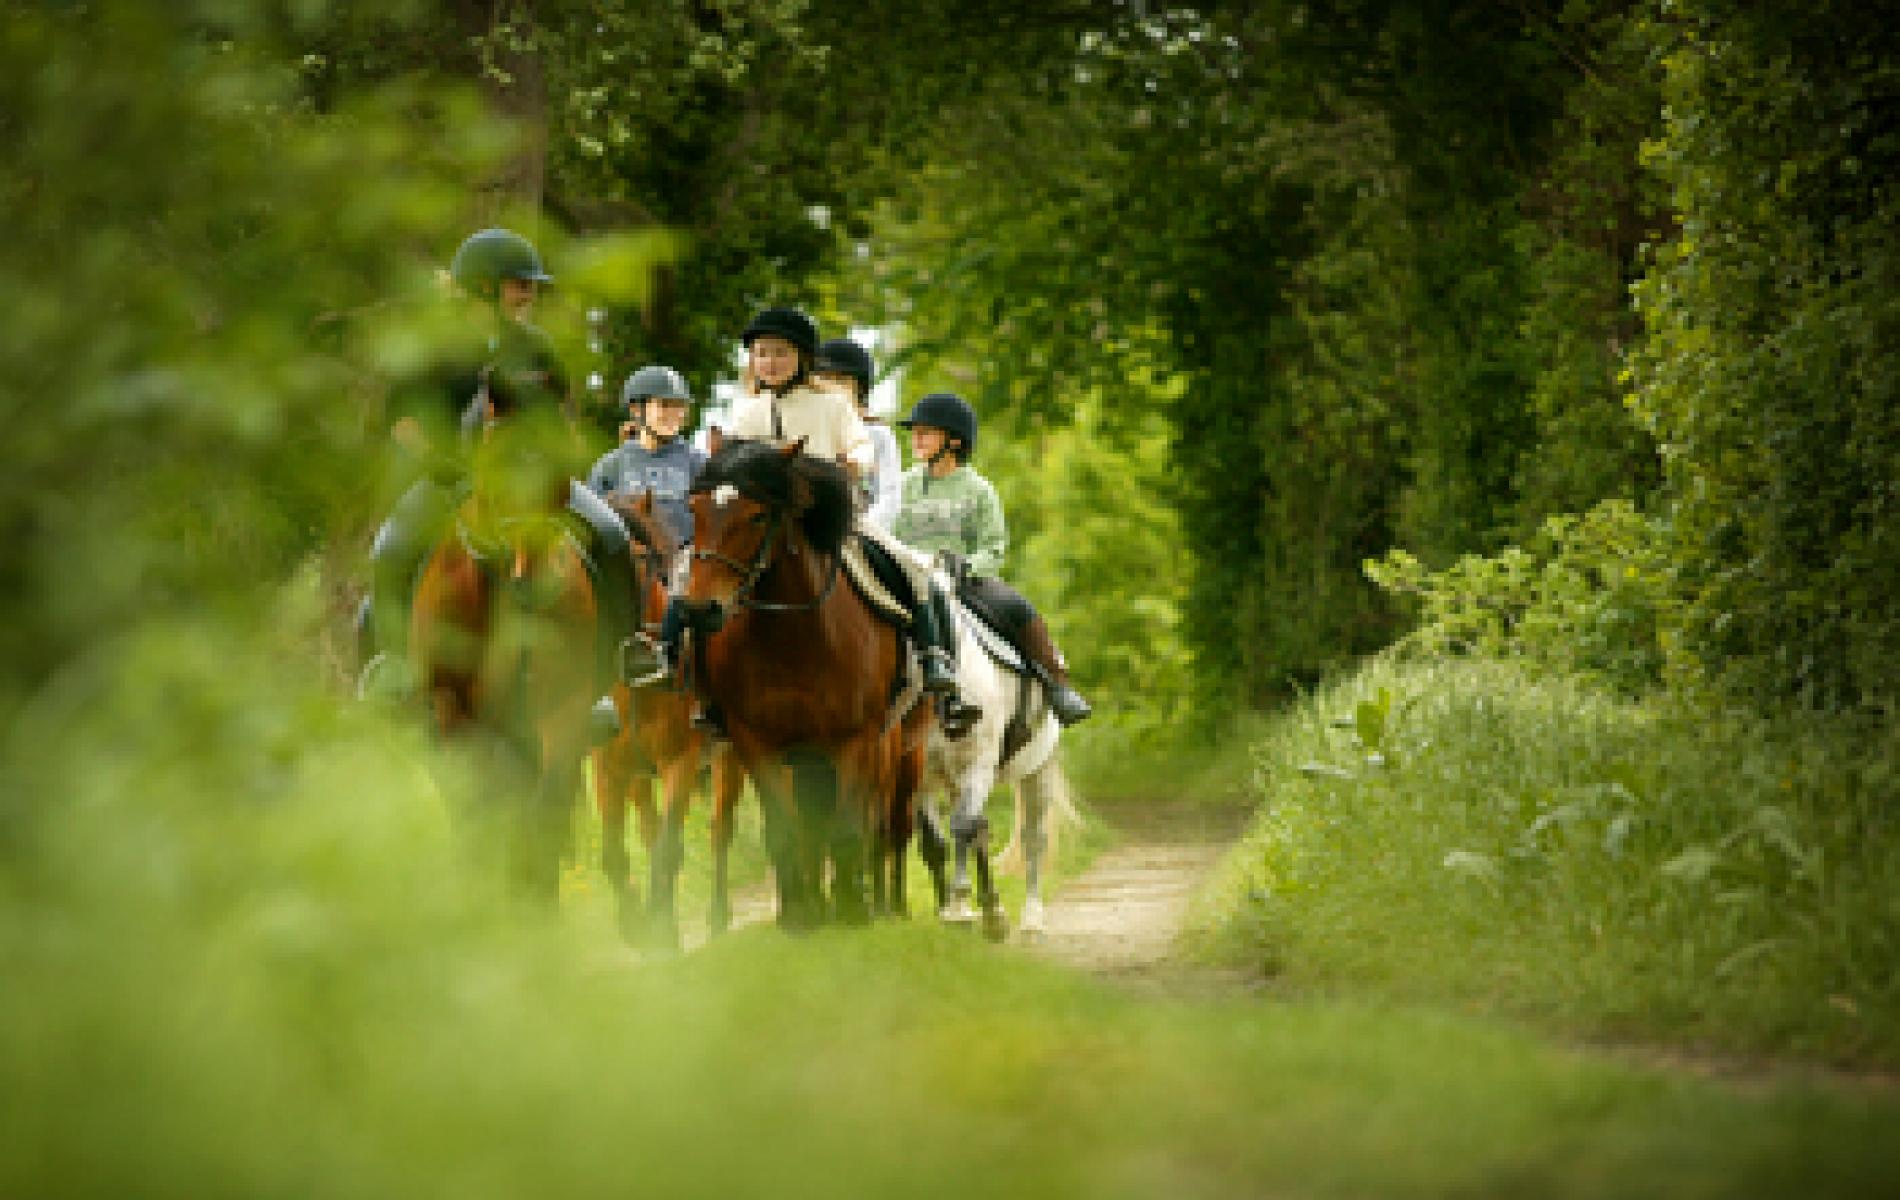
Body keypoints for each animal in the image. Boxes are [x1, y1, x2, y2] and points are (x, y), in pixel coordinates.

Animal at [590, 491, 749, 949]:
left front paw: (663, 934)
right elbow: (615, 853)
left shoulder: (679, 764)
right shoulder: (608, 769)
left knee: (720, 829)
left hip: (728, 758)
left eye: (640, 557)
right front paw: (637, 926)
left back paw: (718, 917)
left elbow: (668, 850)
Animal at [678, 438, 928, 929]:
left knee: (883, 826)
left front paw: (851, 911)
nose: (700, 610)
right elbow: (784, 830)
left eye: (758, 515)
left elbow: (848, 829)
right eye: (694, 507)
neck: (795, 637)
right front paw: (798, 914)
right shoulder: (755, 741)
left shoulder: (854, 739)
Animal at [914, 583, 1082, 941]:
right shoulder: (917, 781)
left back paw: (1031, 921)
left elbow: (965, 828)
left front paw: (959, 910)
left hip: (1038, 770)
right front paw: (952, 911)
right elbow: (936, 845)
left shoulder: (977, 766)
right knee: (978, 830)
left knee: (1033, 840)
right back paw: (992, 913)